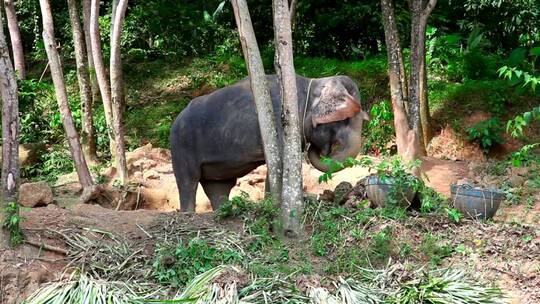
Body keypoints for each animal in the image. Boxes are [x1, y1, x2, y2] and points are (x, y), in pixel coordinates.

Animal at [171, 74, 370, 211]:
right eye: (345, 119)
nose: (316, 148)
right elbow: (280, 162)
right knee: (188, 182)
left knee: (219, 187)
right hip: (181, 147)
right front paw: (274, 205)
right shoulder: (279, 122)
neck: (310, 84)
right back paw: (188, 213)